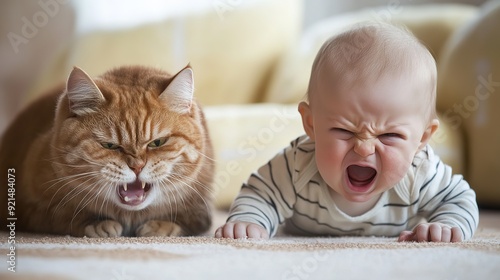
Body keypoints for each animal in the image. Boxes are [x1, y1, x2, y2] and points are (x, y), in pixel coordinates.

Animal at [0, 65, 213, 236]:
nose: (137, 167)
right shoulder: (30, 208)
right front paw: (97, 223)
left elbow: (187, 221)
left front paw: (162, 226)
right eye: (109, 145)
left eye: (157, 142)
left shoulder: (201, 209)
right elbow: (61, 216)